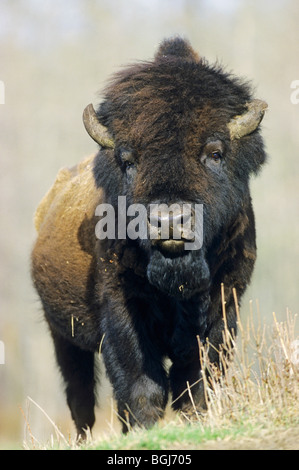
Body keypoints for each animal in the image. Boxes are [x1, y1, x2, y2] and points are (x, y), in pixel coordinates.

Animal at [31, 36, 268, 436]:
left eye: (215, 152)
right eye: (129, 160)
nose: (169, 221)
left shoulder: (224, 305)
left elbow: (198, 380)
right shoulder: (123, 310)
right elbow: (141, 383)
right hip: (62, 335)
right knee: (80, 397)